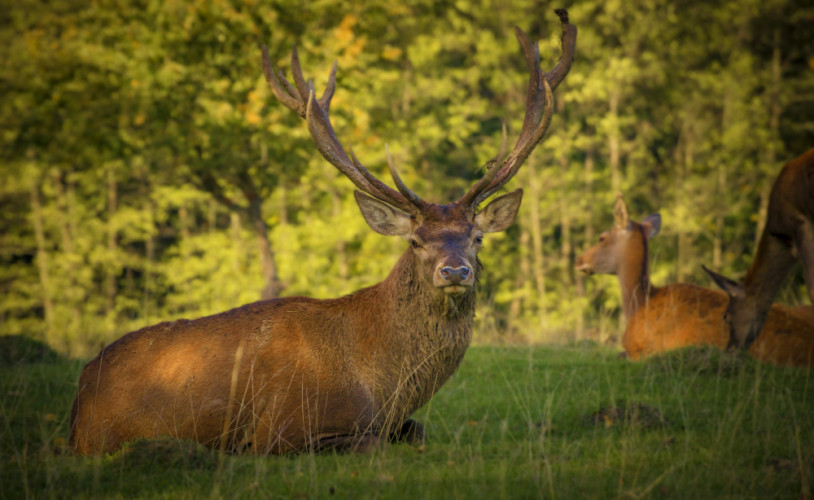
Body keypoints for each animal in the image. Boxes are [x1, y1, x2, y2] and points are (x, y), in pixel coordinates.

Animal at [71, 10, 580, 458]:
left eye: (477, 238)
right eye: (416, 241)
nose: (454, 271)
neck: (381, 385)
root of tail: (78, 400)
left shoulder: (400, 422)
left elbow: (418, 433)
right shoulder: (279, 428)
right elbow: (371, 444)